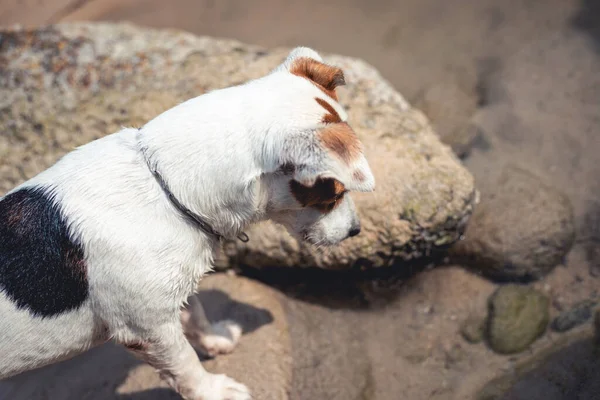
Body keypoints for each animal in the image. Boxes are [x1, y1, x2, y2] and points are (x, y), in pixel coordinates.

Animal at [0, 47, 376, 400]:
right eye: (335, 192)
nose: (356, 230)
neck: (165, 190)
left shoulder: (172, 292)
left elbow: (196, 316)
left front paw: (217, 339)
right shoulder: (148, 329)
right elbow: (185, 365)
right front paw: (215, 391)